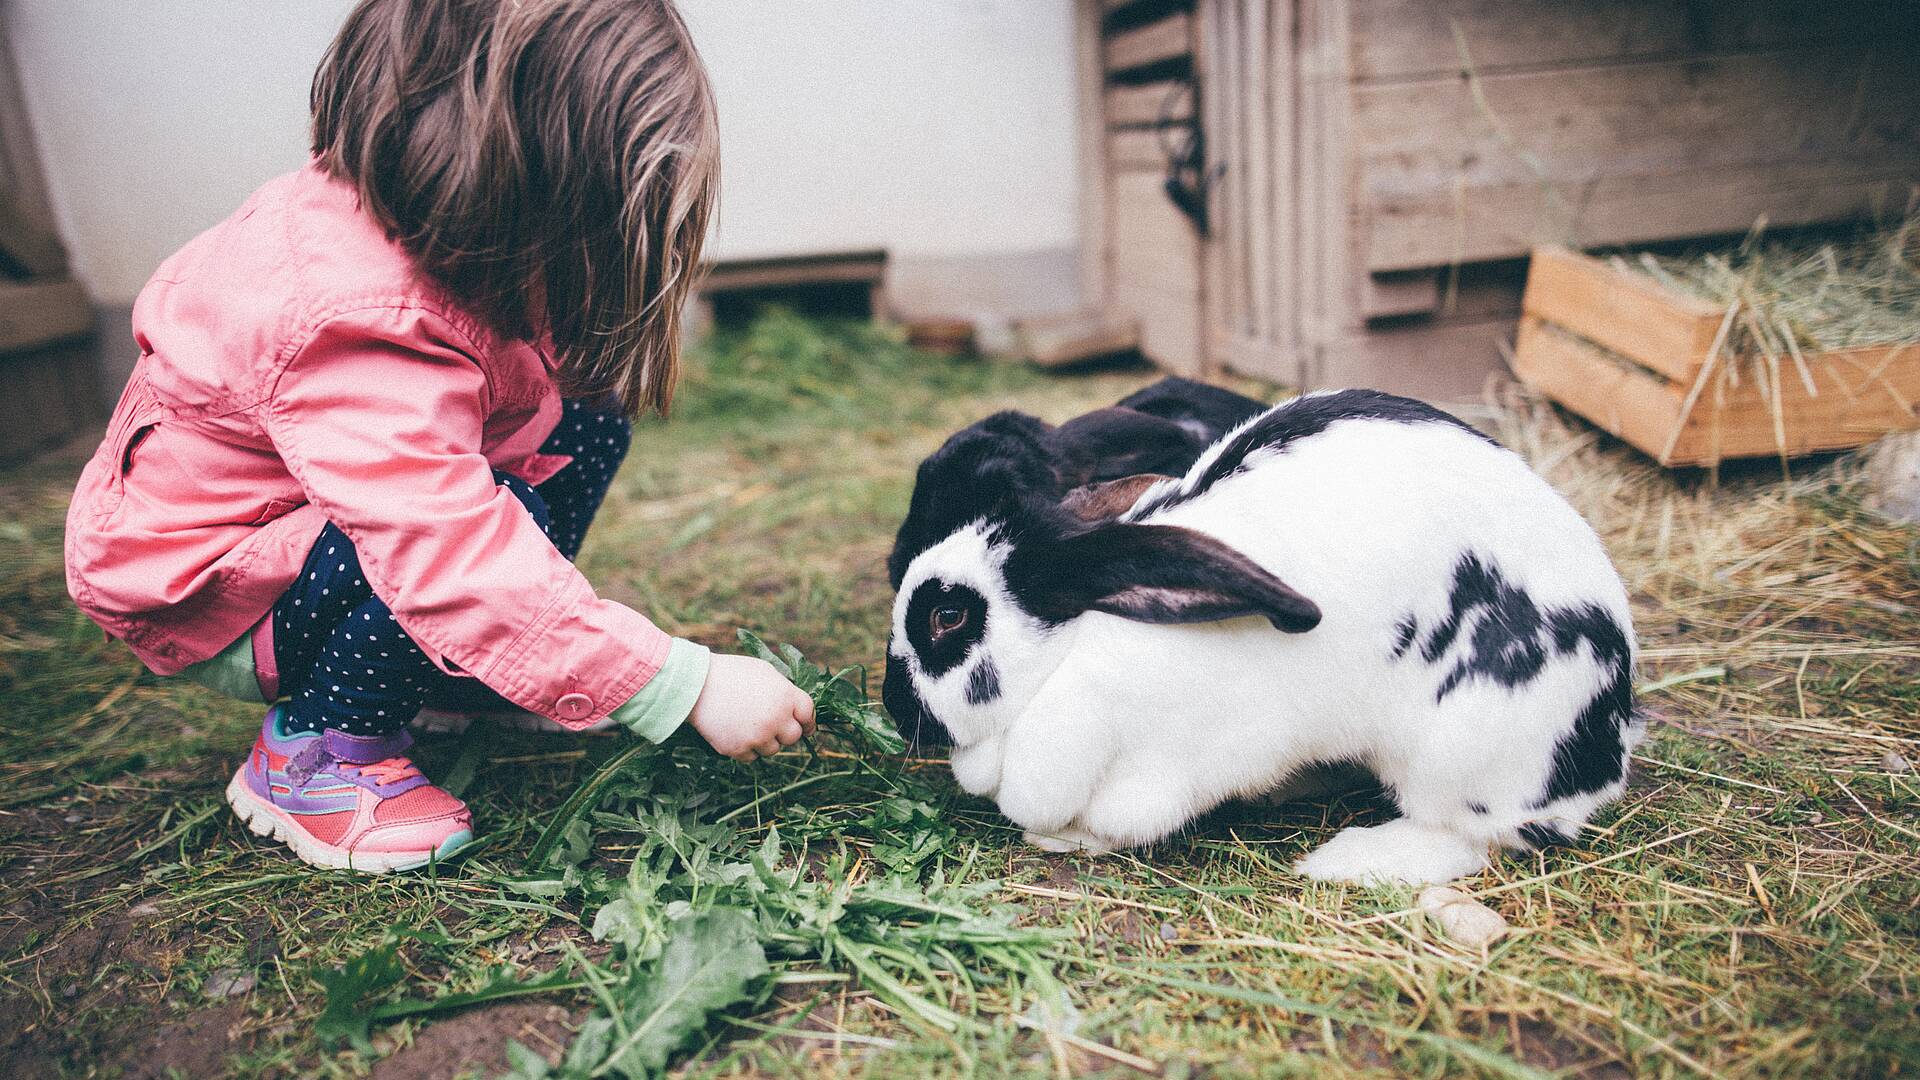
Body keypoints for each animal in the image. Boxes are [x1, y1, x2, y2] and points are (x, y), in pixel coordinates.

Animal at [887, 386, 1651, 883]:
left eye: (948, 618)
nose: (897, 711)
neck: (1070, 655)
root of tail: (1607, 734)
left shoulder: (1181, 758)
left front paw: (1065, 837)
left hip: (1464, 752)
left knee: (1480, 838)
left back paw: (1352, 861)